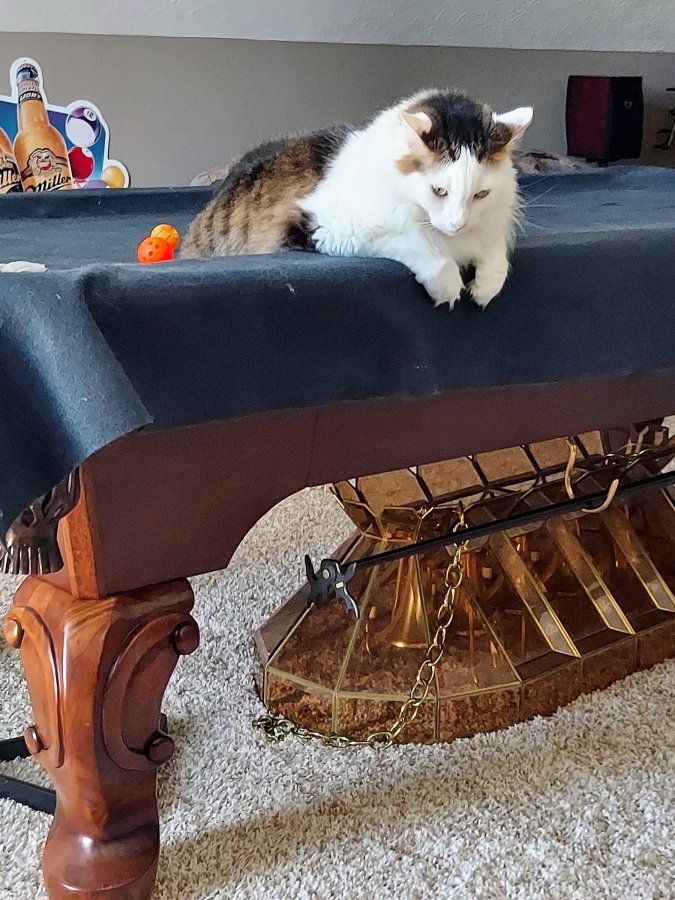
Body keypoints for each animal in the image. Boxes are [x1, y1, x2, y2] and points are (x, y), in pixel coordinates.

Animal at [181, 89, 533, 309]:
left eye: (481, 194)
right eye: (439, 191)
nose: (457, 225)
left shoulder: (490, 225)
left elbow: (495, 254)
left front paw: (486, 288)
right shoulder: (330, 227)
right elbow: (425, 248)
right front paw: (449, 289)